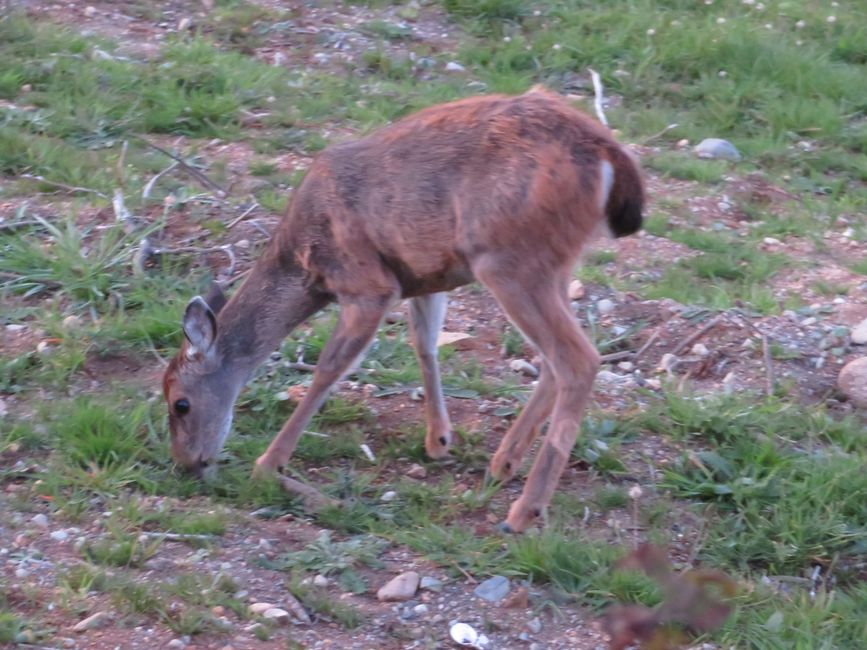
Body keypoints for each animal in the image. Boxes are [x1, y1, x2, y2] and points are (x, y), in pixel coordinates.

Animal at [163, 86, 644, 532]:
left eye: (180, 403)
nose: (188, 464)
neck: (301, 261)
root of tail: (609, 155)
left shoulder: (368, 284)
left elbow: (329, 368)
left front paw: (269, 465)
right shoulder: (424, 276)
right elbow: (424, 343)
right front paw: (439, 440)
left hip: (509, 260)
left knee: (577, 358)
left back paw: (524, 511)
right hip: (551, 265)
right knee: (556, 358)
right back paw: (503, 463)